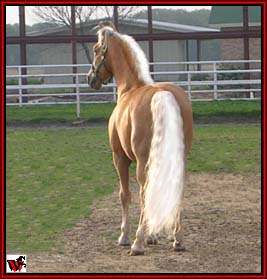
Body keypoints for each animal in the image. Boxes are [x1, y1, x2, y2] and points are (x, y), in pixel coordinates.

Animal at [89, 23, 194, 258]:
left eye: (96, 49)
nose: (91, 79)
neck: (130, 88)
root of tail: (163, 95)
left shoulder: (120, 158)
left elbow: (125, 195)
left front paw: (125, 237)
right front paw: (153, 236)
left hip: (142, 162)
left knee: (145, 192)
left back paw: (137, 243)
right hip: (179, 159)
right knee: (174, 189)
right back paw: (178, 239)